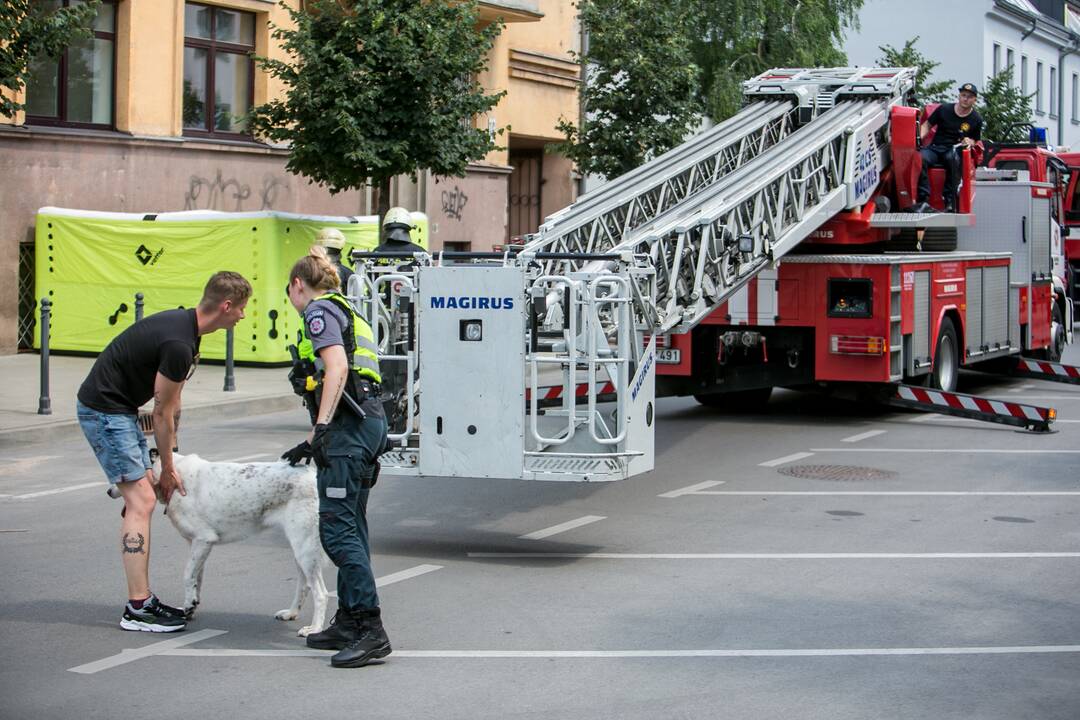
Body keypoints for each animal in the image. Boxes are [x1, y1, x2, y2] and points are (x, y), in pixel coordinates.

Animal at [154, 453, 326, 639]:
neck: (176, 474)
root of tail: (314, 475)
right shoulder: (197, 546)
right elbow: (196, 578)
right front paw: (190, 607)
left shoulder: (203, 539)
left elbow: (187, 575)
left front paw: (189, 605)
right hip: (300, 550)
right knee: (304, 585)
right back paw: (291, 613)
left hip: (305, 550)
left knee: (321, 594)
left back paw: (314, 628)